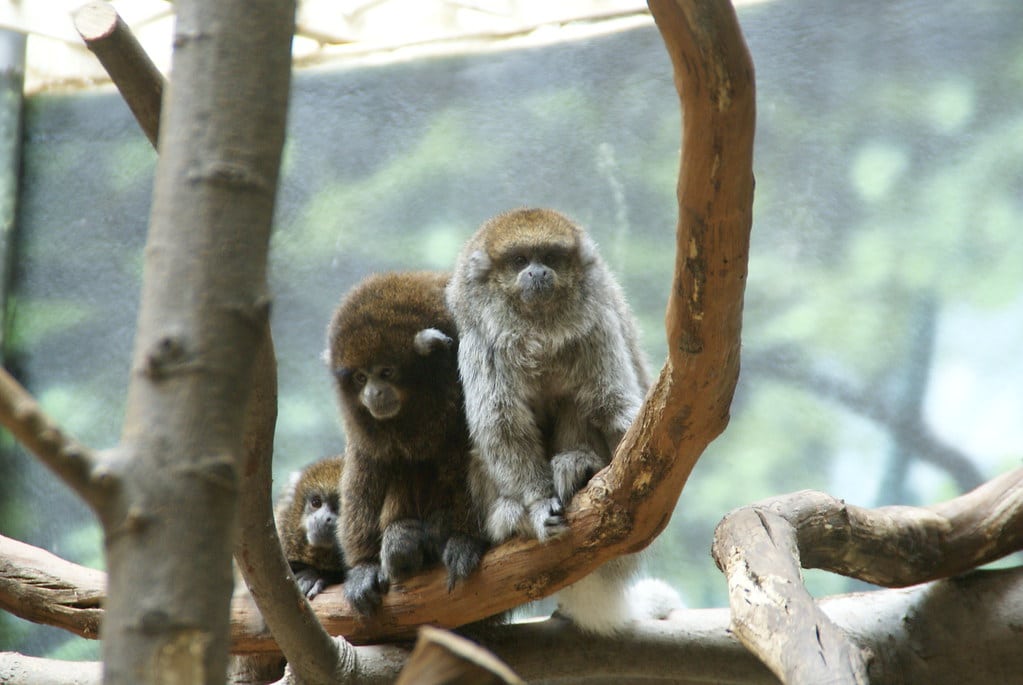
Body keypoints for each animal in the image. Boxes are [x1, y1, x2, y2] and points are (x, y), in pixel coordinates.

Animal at [326, 271, 488, 614]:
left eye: (386, 372)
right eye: (360, 378)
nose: (373, 393)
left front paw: (466, 540)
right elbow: (365, 475)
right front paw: (362, 567)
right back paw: (402, 545)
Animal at [446, 207, 651, 634]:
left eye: (552, 258)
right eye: (520, 260)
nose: (538, 273)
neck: (538, 332)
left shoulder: (596, 324)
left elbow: (615, 407)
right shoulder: (482, 339)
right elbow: (502, 427)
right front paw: (538, 504)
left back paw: (579, 467)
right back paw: (511, 520)